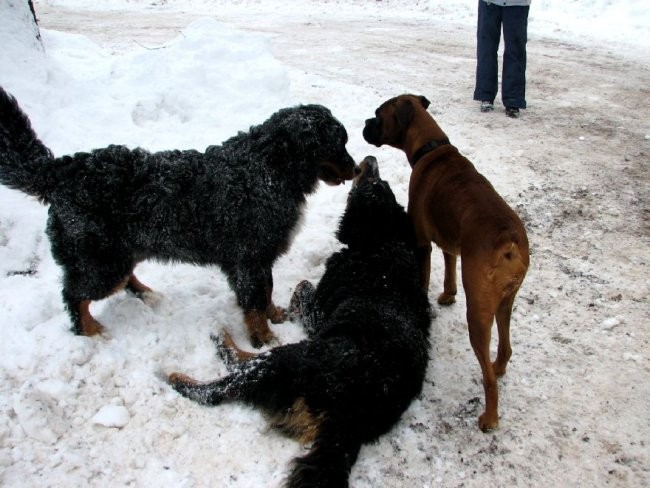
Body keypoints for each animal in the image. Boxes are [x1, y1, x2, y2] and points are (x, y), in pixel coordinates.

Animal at [362, 93, 528, 428]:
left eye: (378, 114)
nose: (364, 122)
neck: (431, 146)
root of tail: (509, 241)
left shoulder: (422, 244)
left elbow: (424, 278)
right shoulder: (451, 244)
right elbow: (450, 267)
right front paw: (448, 296)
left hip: (479, 314)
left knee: (488, 379)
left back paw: (489, 417)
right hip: (505, 303)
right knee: (505, 347)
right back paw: (499, 366)